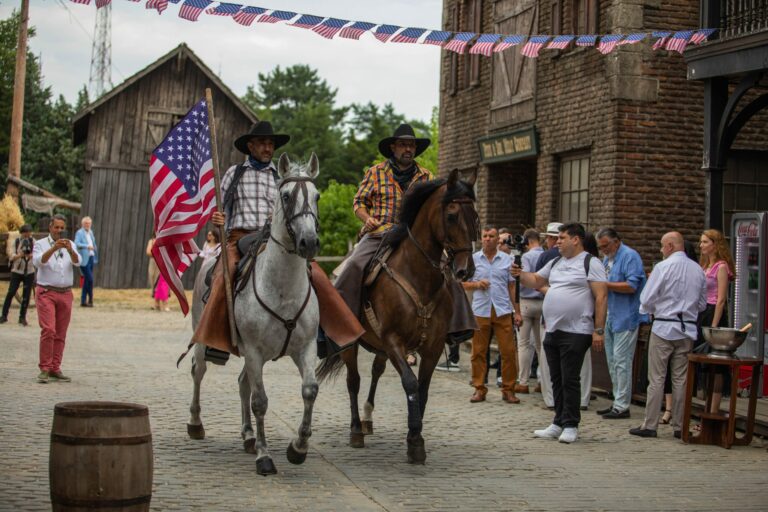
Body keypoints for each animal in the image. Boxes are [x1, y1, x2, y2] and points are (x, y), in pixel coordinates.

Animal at [189, 153, 320, 476]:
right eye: (286, 196)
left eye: (316, 196)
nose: (309, 242)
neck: (283, 290)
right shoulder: (253, 350)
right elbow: (260, 401)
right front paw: (264, 456)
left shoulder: (306, 347)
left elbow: (309, 390)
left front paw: (298, 448)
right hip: (203, 339)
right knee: (199, 371)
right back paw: (196, 423)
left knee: (242, 383)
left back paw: (248, 436)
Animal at [316, 167, 474, 464]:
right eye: (451, 215)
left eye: (475, 216)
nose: (465, 270)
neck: (418, 277)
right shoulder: (393, 341)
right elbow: (410, 384)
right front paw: (414, 441)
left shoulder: (432, 347)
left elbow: (422, 391)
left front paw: (416, 436)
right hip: (352, 345)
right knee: (353, 381)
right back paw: (356, 430)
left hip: (378, 346)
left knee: (376, 372)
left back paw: (367, 418)